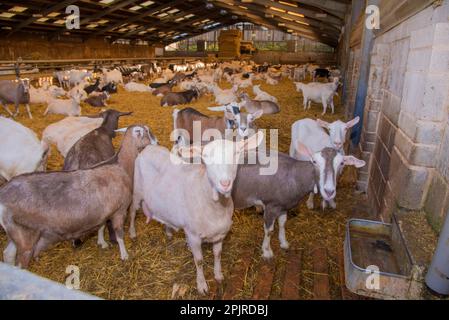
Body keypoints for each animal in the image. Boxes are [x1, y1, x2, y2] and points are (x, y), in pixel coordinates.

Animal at [233, 145, 366, 260]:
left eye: (342, 163)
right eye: (314, 161)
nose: (329, 191)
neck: (293, 176)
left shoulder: (283, 206)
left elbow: (282, 223)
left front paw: (284, 243)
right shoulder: (271, 205)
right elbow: (269, 231)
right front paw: (267, 252)